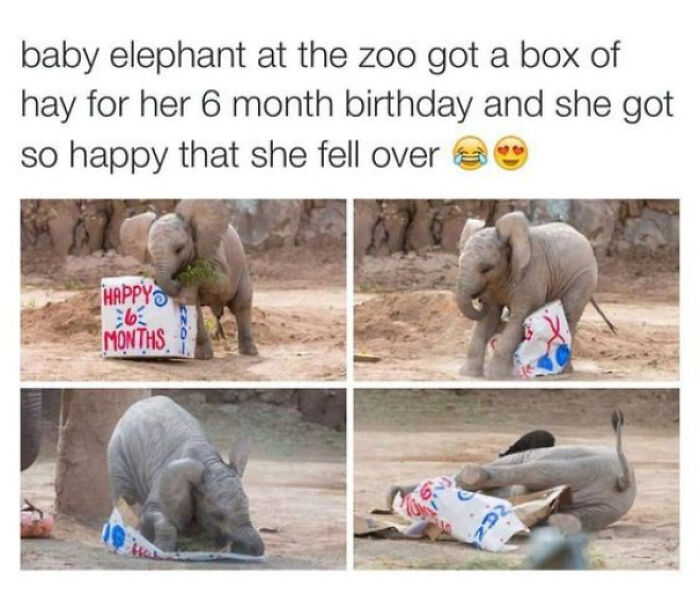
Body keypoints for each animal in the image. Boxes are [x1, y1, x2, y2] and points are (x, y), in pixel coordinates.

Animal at [107, 396, 264, 555]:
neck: (210, 462)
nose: (238, 549)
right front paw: (162, 550)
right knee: (124, 495)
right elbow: (156, 516)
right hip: (117, 450)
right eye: (217, 515)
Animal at [119, 200, 257, 359]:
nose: (175, 279)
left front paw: (186, 281)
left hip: (242, 266)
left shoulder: (213, 249)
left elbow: (220, 283)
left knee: (241, 305)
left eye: (179, 249)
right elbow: (192, 305)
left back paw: (250, 352)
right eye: (150, 254)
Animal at [455, 211, 615, 378]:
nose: (480, 298)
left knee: (570, 316)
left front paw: (496, 376)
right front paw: (469, 374)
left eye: (487, 269)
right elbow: (488, 320)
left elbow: (518, 319)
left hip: (584, 278)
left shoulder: (531, 276)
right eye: (459, 263)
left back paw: (562, 372)